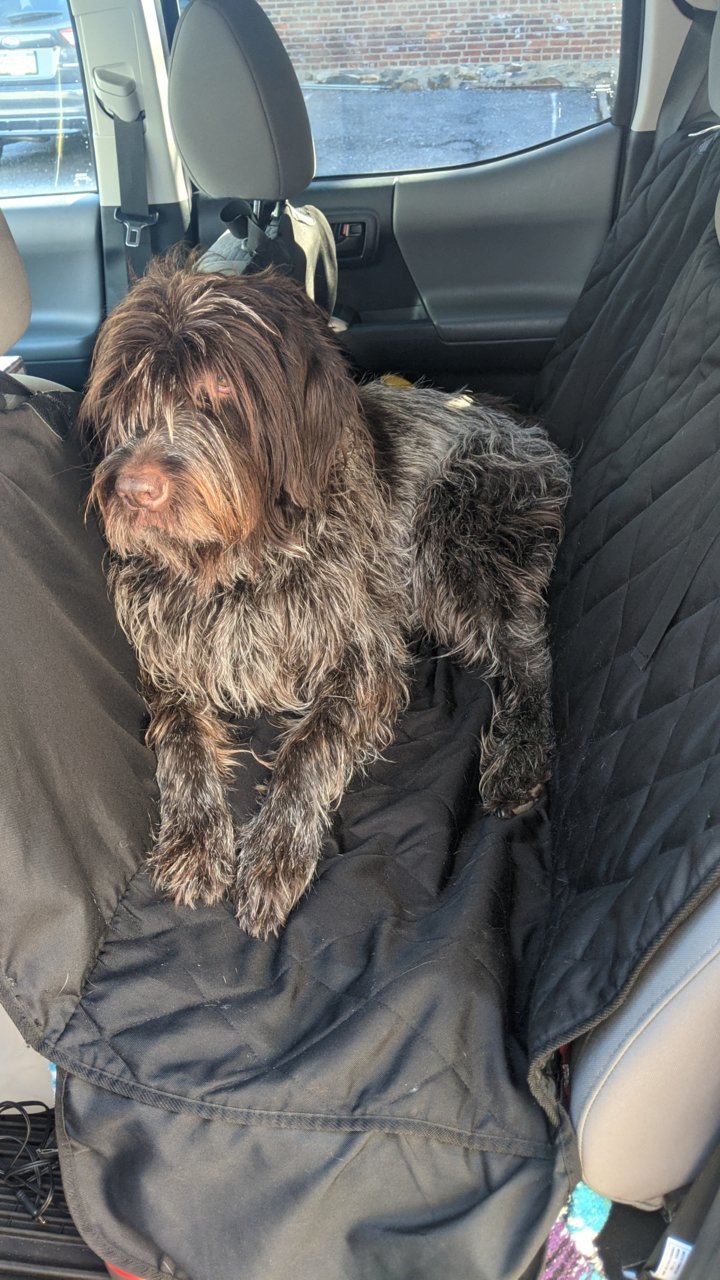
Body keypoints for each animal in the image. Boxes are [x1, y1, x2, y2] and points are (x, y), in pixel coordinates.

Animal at [79, 259, 566, 942]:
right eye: (129, 396)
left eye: (220, 388)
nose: (131, 490)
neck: (240, 561)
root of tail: (524, 430)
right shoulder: (167, 655)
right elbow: (179, 734)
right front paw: (198, 837)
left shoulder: (366, 657)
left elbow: (312, 745)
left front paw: (276, 852)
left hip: (454, 541)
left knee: (528, 653)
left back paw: (520, 754)